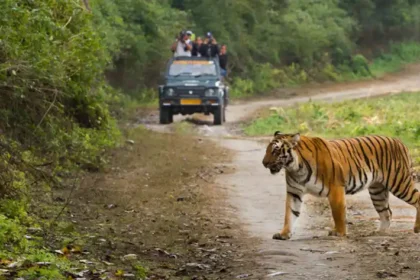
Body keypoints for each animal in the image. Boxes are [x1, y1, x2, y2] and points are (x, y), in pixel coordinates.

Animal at [262, 132, 420, 240]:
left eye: (276, 150)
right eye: (267, 150)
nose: (264, 163)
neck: (295, 168)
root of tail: (400, 142)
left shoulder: (335, 188)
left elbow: (337, 213)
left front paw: (339, 232)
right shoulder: (294, 192)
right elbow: (290, 214)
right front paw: (283, 234)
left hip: (399, 183)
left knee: (417, 199)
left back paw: (417, 228)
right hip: (378, 191)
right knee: (387, 212)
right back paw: (379, 233)